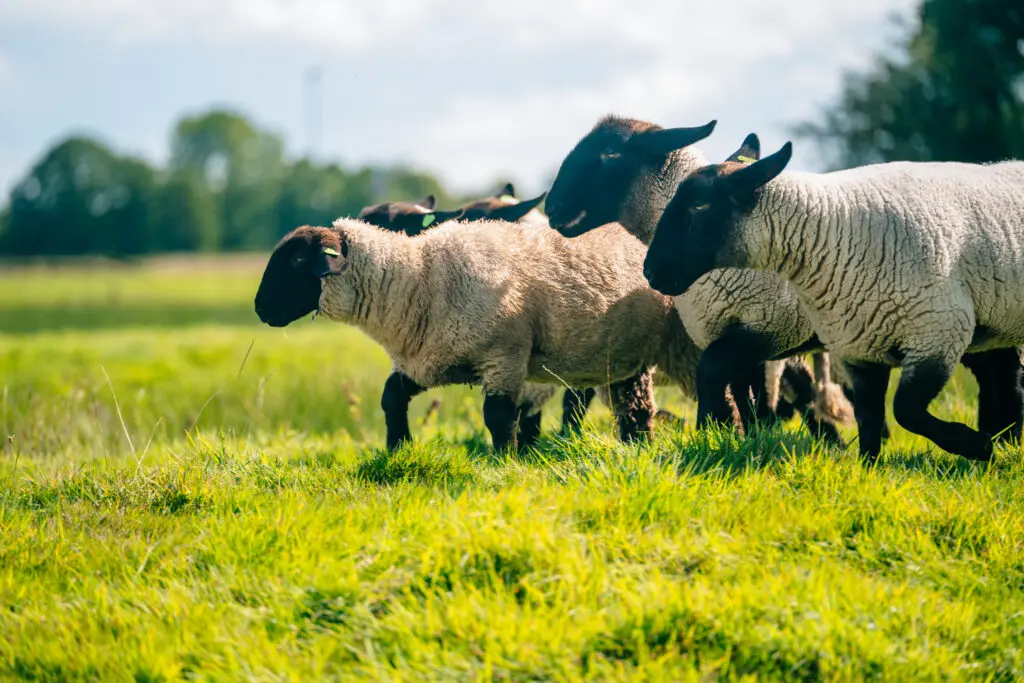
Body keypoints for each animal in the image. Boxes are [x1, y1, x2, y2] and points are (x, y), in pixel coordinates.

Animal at [253, 218, 702, 452]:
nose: (259, 309)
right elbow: (391, 397)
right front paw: (399, 448)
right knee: (635, 410)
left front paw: (505, 463)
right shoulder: (429, 360)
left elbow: (498, 416)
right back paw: (636, 449)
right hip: (624, 359)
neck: (418, 279)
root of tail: (634, 239)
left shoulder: (504, 356)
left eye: (297, 259)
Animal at [544, 116, 853, 443]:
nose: (552, 207)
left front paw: (713, 437)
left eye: (611, 152)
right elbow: (748, 404)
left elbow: (714, 384)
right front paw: (749, 442)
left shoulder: (770, 323)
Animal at [642, 136, 1024, 462]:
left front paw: (975, 446)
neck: (831, 232)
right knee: (1004, 378)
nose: (650, 271)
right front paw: (870, 475)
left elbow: (905, 411)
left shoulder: (938, 332)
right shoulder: (861, 347)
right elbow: (869, 419)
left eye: (699, 206)